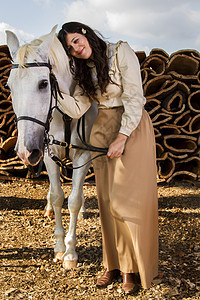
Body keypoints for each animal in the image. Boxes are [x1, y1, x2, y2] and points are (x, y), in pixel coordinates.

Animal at [5, 25, 97, 268]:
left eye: (44, 83)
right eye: (9, 86)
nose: (25, 151)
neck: (64, 112)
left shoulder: (84, 155)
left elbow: (74, 200)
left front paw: (71, 253)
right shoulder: (47, 154)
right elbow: (57, 196)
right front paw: (59, 247)